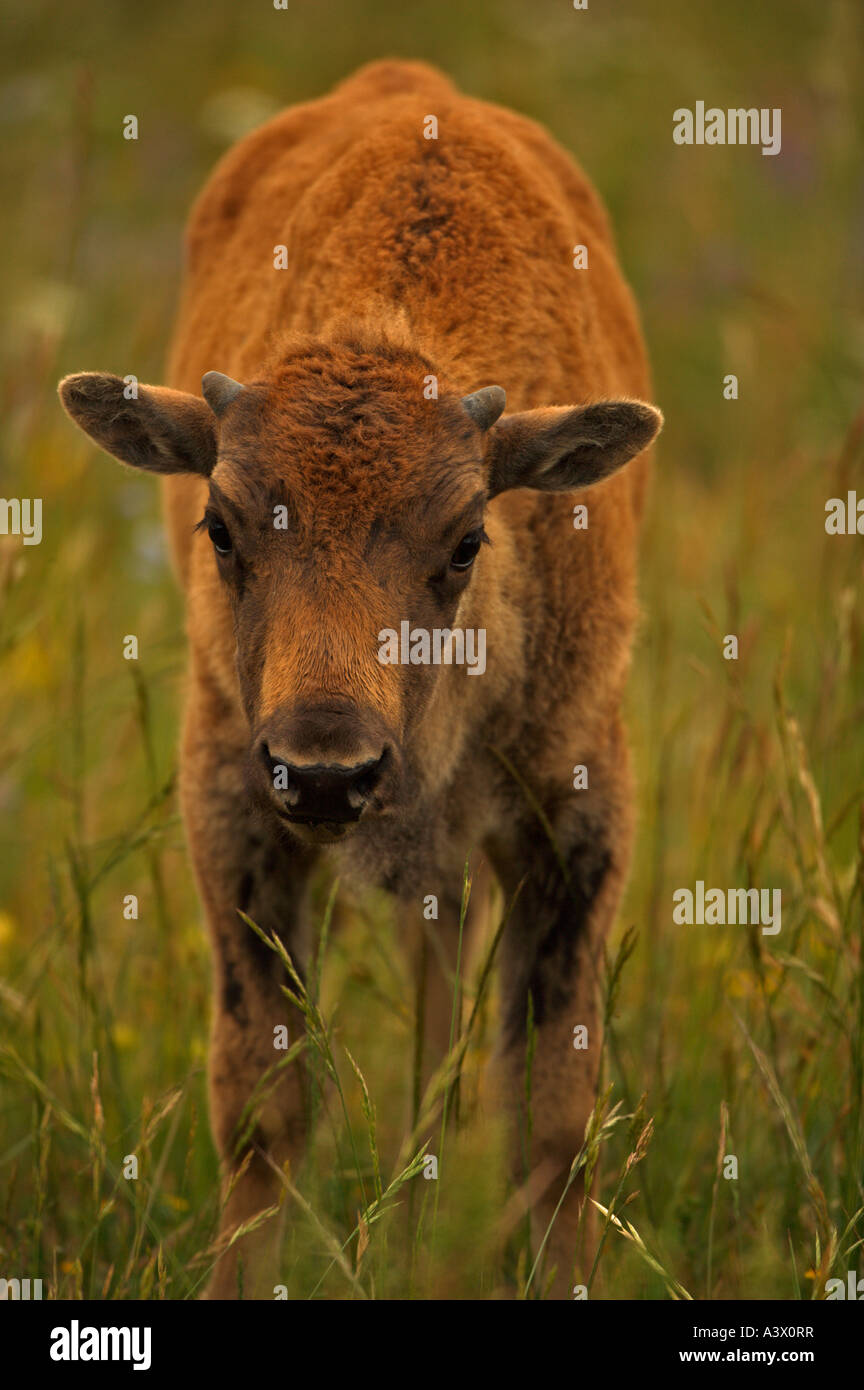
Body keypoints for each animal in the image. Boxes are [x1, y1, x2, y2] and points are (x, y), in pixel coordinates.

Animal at [59, 59, 663, 1295]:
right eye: (222, 526)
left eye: (468, 540)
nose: (329, 769)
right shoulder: (236, 808)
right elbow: (264, 1100)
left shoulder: (578, 809)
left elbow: (552, 1113)